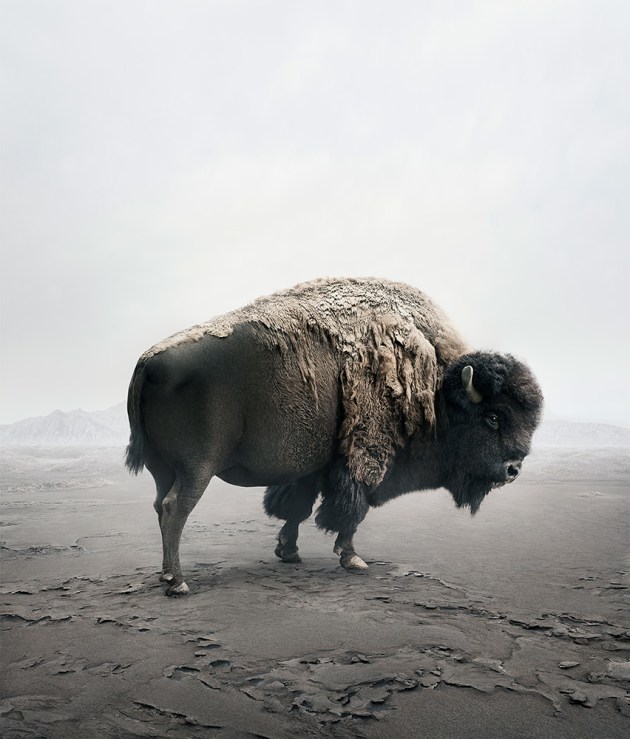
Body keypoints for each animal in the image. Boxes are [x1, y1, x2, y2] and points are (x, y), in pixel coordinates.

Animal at [126, 278, 543, 595]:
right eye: (493, 417)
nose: (513, 469)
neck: (435, 388)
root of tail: (148, 361)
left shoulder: (314, 467)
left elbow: (297, 506)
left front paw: (288, 552)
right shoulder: (364, 458)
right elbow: (351, 509)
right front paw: (353, 558)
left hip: (163, 468)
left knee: (159, 505)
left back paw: (166, 575)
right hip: (197, 469)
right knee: (175, 508)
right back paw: (177, 582)